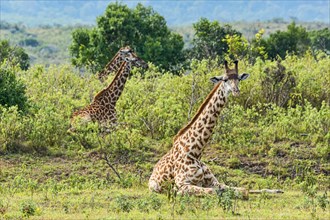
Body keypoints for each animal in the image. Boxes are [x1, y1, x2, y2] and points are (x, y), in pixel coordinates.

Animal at [148, 59, 282, 196]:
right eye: (225, 79)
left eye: (239, 78)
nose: (236, 91)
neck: (195, 152)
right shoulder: (182, 185)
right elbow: (216, 191)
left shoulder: (213, 181)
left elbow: (242, 189)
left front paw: (274, 190)